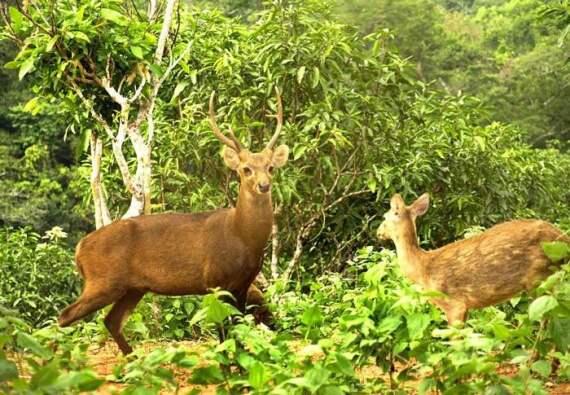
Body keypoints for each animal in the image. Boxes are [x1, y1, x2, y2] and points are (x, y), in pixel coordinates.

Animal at [58, 90, 288, 356]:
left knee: (110, 320)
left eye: (270, 167)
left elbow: (237, 326)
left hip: (133, 288)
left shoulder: (243, 284)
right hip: (103, 281)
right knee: (65, 316)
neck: (242, 236)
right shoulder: (215, 281)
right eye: (246, 169)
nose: (264, 185)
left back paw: (135, 359)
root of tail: (79, 248)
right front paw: (227, 360)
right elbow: (224, 328)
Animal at [374, 193, 564, 324]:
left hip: (540, 277)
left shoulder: (454, 304)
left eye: (385, 217)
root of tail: (564, 238)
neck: (423, 269)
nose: (378, 232)